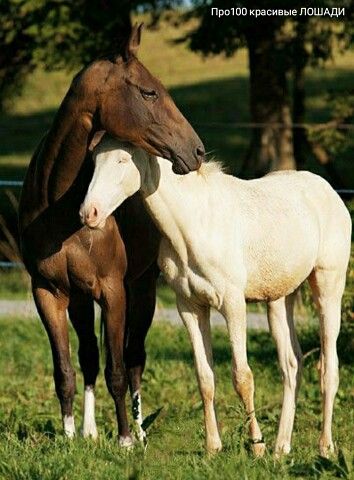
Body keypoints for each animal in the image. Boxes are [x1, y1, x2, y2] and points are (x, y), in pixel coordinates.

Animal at [18, 25, 205, 446]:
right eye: (149, 92)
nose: (197, 151)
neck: (59, 206)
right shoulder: (48, 292)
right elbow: (65, 371)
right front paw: (70, 436)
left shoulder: (114, 291)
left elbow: (117, 370)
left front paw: (124, 440)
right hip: (80, 298)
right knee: (89, 357)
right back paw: (88, 432)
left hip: (143, 287)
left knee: (134, 360)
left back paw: (138, 431)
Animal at [80, 136, 352, 458]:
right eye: (94, 161)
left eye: (122, 160)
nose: (89, 213)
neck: (193, 224)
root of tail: (330, 193)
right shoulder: (190, 308)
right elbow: (205, 377)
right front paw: (213, 447)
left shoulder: (233, 306)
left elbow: (242, 377)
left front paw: (256, 446)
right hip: (280, 299)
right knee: (291, 366)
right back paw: (281, 447)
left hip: (327, 287)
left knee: (328, 369)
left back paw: (324, 447)